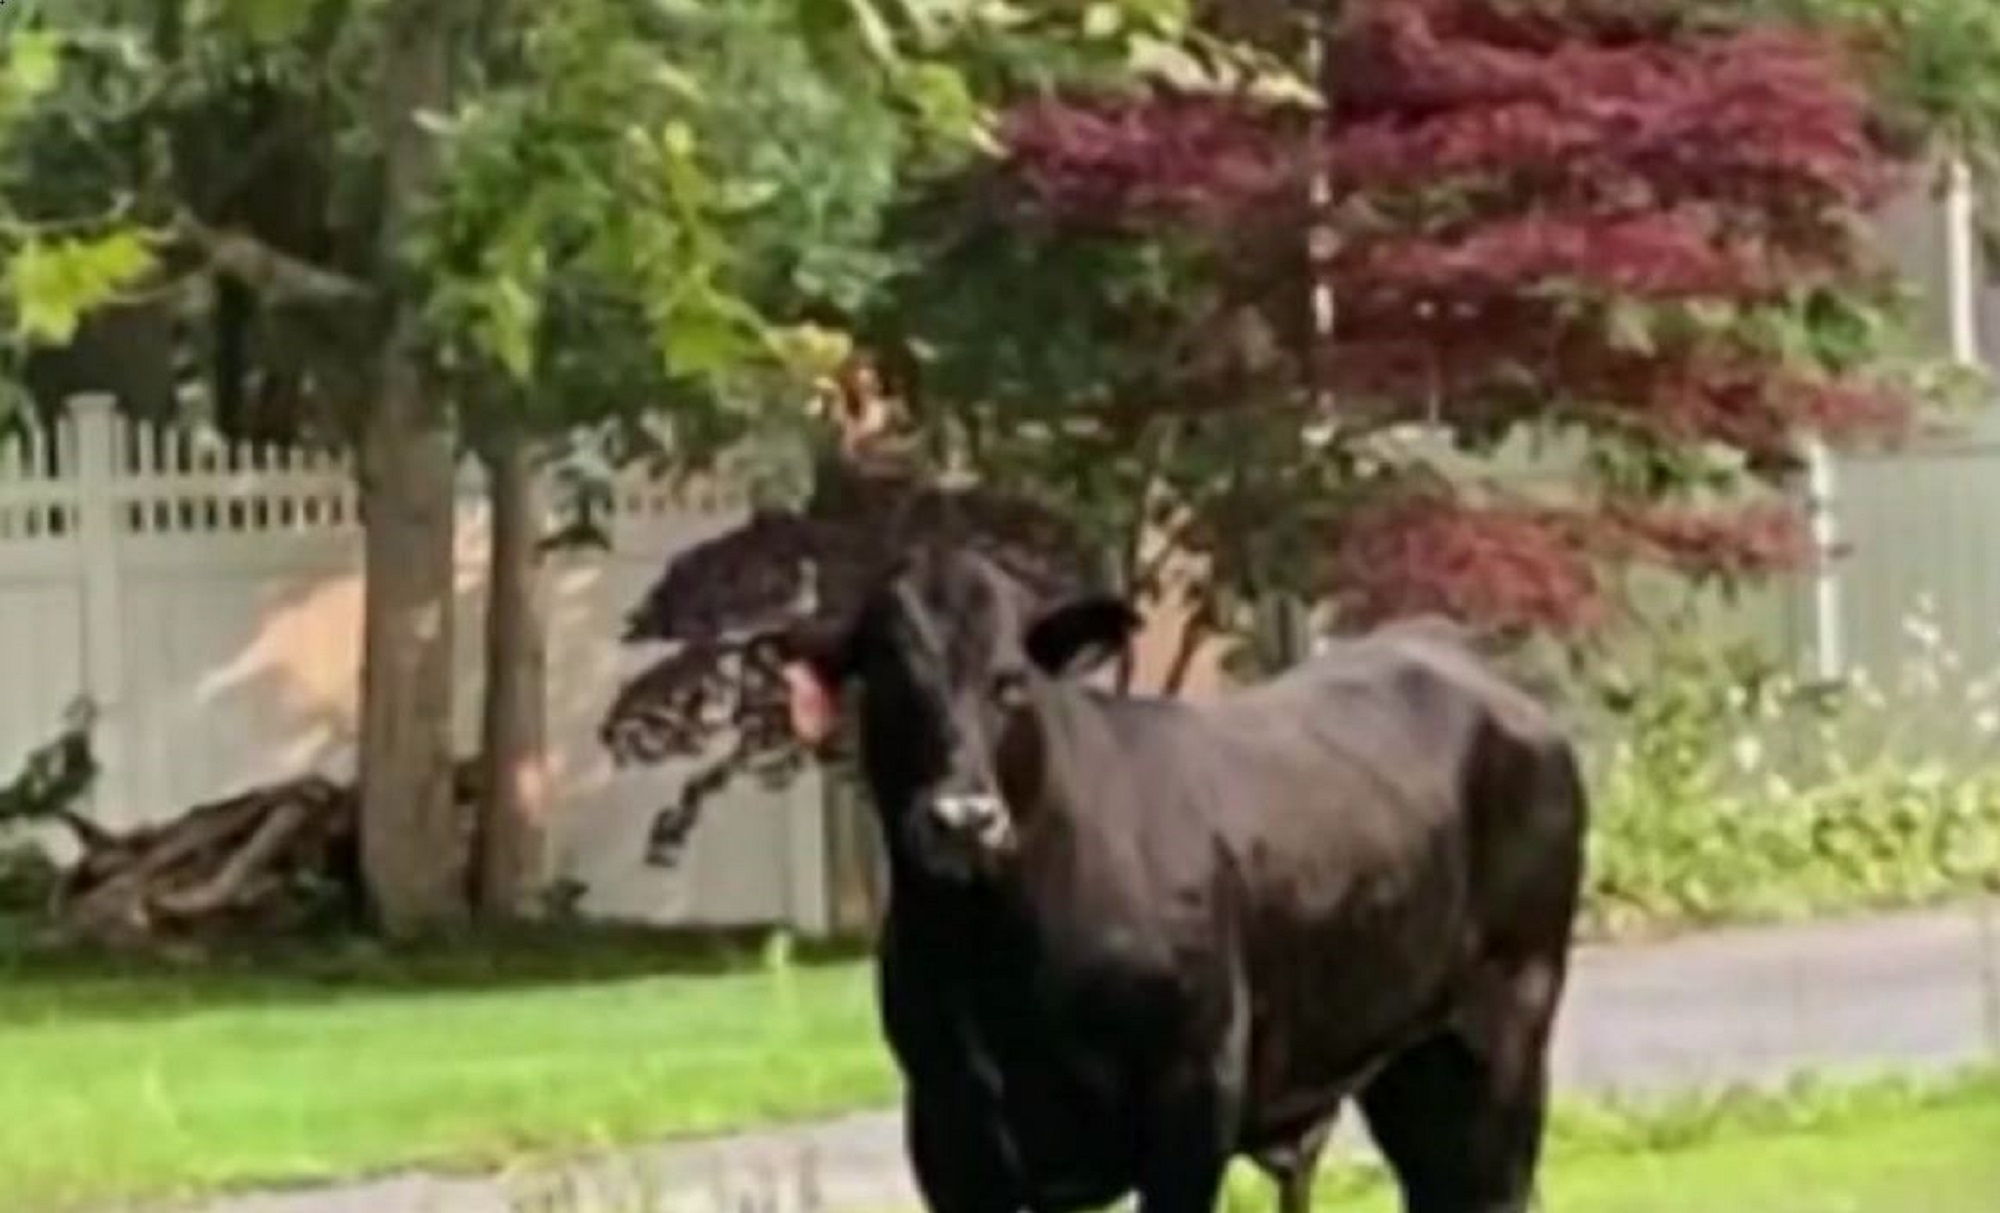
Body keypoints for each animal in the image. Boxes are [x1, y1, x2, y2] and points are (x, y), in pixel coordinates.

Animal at [776, 545, 1588, 1213]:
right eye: (887, 680)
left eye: (1012, 682)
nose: (962, 818)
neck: (996, 955)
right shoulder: (950, 1127)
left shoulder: (1192, 1095)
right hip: (1408, 1063)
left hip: (1507, 1030)